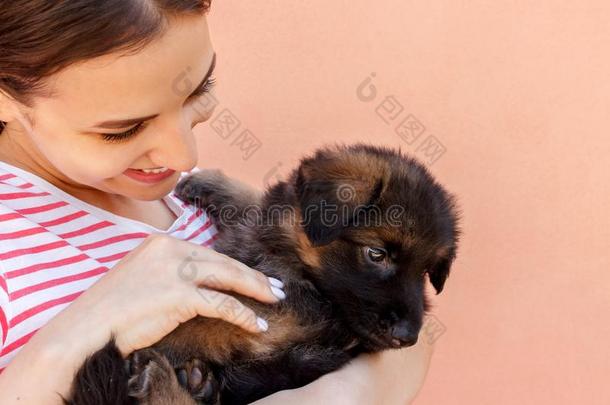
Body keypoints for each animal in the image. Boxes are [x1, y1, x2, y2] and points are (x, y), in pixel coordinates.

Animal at [66, 144, 458, 402]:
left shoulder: (287, 315)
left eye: (426, 272)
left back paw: (166, 383)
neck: (291, 255)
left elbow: (210, 318)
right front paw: (210, 182)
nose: (408, 337)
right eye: (376, 254)